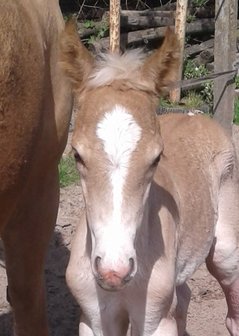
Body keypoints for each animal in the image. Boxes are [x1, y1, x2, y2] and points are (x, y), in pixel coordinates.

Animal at [60, 21, 239, 336]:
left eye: (156, 159)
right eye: (77, 155)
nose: (114, 270)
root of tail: (196, 115)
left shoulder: (155, 320)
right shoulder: (95, 319)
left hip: (225, 252)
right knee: (184, 296)